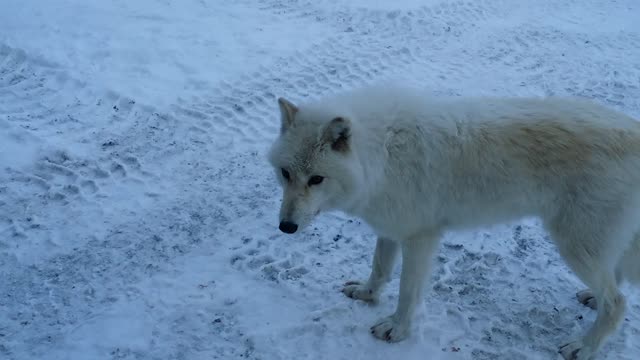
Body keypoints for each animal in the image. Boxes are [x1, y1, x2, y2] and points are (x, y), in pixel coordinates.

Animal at [264, 85, 640, 360]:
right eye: (286, 174)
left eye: (316, 179)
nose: (286, 227)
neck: (381, 154)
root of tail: (635, 132)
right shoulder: (391, 228)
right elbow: (380, 269)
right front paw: (367, 295)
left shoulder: (420, 238)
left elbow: (407, 291)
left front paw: (397, 330)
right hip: (594, 247)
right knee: (615, 282)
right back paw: (591, 300)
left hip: (575, 247)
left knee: (618, 302)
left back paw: (584, 346)